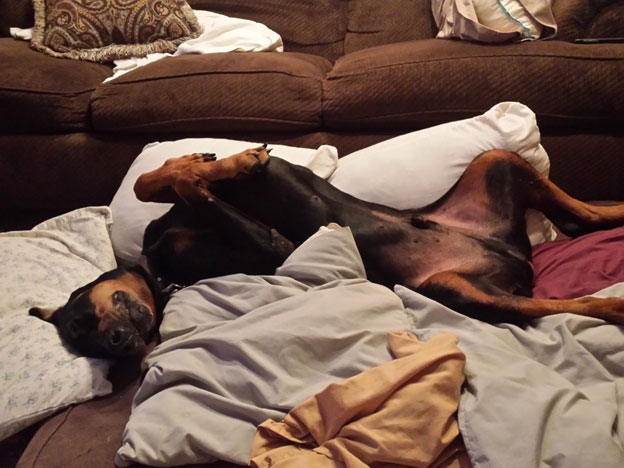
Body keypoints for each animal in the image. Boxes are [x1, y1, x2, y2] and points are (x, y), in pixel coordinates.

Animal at [29, 146, 624, 358]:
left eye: (81, 318)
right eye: (84, 340)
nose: (117, 344)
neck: (160, 272)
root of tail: (512, 253)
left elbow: (155, 180)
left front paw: (219, 160)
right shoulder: (272, 243)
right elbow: (185, 186)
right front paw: (215, 166)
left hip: (492, 162)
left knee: (584, 218)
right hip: (456, 287)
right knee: (569, 296)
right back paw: (613, 304)